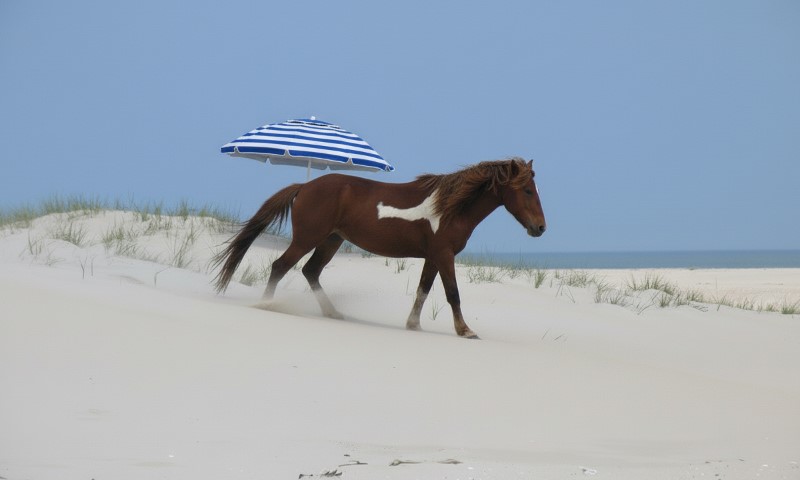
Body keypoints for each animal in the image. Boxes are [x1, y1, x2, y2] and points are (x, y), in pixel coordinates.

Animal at [213, 157, 546, 339]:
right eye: (527, 190)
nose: (540, 228)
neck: (450, 207)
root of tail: (305, 186)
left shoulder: (433, 257)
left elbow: (423, 290)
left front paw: (413, 325)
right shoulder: (444, 255)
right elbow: (453, 294)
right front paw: (466, 330)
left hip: (331, 240)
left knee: (311, 271)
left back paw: (333, 313)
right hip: (307, 238)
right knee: (281, 266)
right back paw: (267, 305)